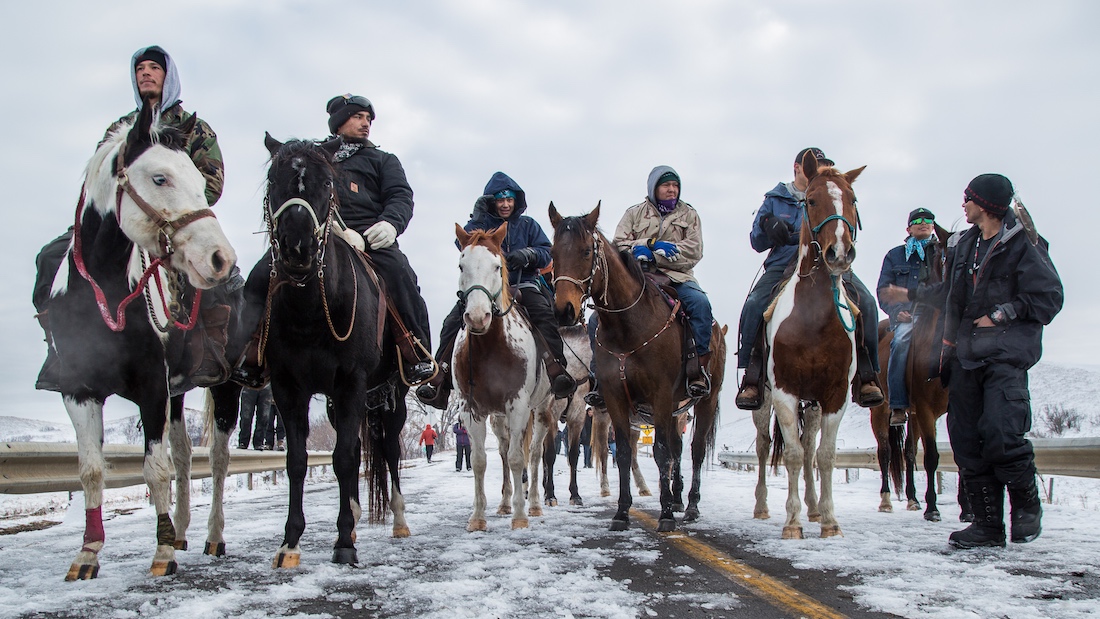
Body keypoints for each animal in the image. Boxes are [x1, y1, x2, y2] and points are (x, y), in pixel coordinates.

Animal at [47, 97, 245, 580]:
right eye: (160, 178)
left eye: (200, 181)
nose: (220, 257)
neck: (104, 295)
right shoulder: (78, 391)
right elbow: (91, 470)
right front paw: (89, 552)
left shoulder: (152, 385)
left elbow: (154, 469)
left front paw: (162, 552)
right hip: (179, 392)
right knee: (185, 455)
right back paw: (182, 530)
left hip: (225, 387)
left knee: (216, 459)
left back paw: (211, 535)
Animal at [247, 137, 411, 567]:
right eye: (274, 181)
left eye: (326, 183)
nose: (297, 247)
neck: (311, 310)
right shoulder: (289, 388)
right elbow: (298, 461)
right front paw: (290, 542)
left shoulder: (351, 382)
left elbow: (344, 459)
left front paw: (344, 544)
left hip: (392, 399)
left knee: (389, 450)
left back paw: (398, 520)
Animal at [451, 224, 554, 532]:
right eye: (461, 265)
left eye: (497, 266)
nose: (477, 317)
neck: (491, 347)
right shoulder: (471, 409)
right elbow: (480, 460)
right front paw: (478, 517)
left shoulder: (518, 405)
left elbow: (519, 459)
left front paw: (520, 516)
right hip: (498, 418)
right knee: (504, 450)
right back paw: (506, 502)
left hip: (541, 409)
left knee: (534, 454)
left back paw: (533, 504)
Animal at [547, 203, 721, 532]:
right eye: (553, 252)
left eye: (586, 251)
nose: (564, 310)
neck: (628, 327)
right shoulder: (616, 398)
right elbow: (625, 453)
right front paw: (622, 512)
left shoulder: (660, 395)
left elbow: (661, 452)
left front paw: (665, 515)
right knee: (676, 448)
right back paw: (677, 499)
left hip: (705, 399)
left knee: (694, 451)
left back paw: (690, 505)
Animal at [756, 153, 866, 538]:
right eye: (813, 201)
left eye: (852, 199)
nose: (839, 254)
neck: (814, 318)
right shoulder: (784, 391)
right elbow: (789, 456)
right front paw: (792, 523)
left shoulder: (835, 394)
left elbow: (824, 456)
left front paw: (829, 520)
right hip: (763, 400)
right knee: (765, 447)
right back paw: (762, 507)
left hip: (814, 404)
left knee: (808, 447)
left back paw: (815, 508)